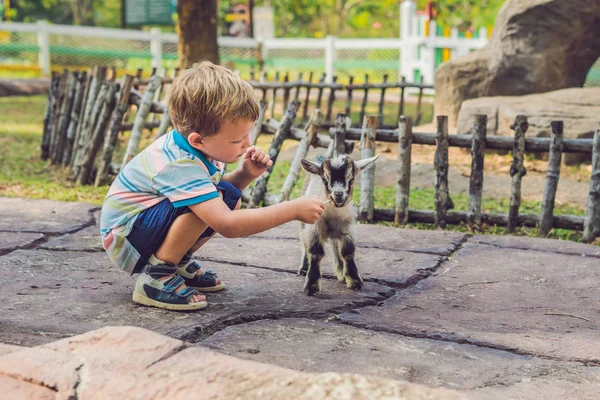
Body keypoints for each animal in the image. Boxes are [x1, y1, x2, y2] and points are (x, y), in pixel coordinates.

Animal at [300, 152, 380, 294]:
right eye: (325, 180)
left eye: (351, 179)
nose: (338, 194)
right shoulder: (314, 228)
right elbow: (315, 252)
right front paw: (312, 285)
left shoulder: (347, 228)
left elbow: (347, 252)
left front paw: (354, 280)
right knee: (304, 242)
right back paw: (304, 268)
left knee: (335, 245)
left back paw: (341, 271)